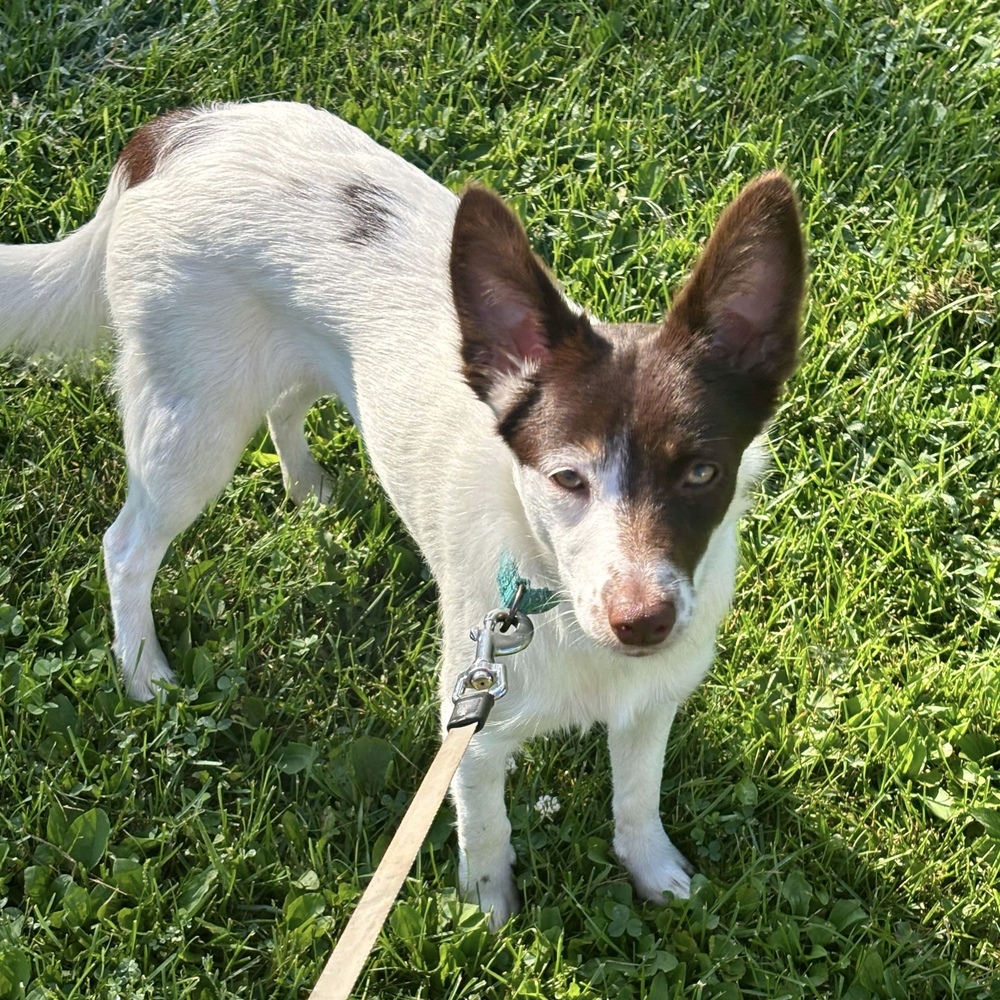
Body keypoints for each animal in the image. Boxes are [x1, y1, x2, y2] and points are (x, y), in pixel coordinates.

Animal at [1, 97, 804, 924]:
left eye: (702, 473)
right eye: (565, 477)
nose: (643, 621)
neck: (544, 592)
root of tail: (176, 132)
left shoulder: (651, 706)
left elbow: (637, 801)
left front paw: (654, 872)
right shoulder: (473, 728)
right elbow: (486, 832)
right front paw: (488, 917)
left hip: (296, 365)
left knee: (285, 403)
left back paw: (309, 488)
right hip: (191, 425)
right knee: (126, 549)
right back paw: (144, 671)